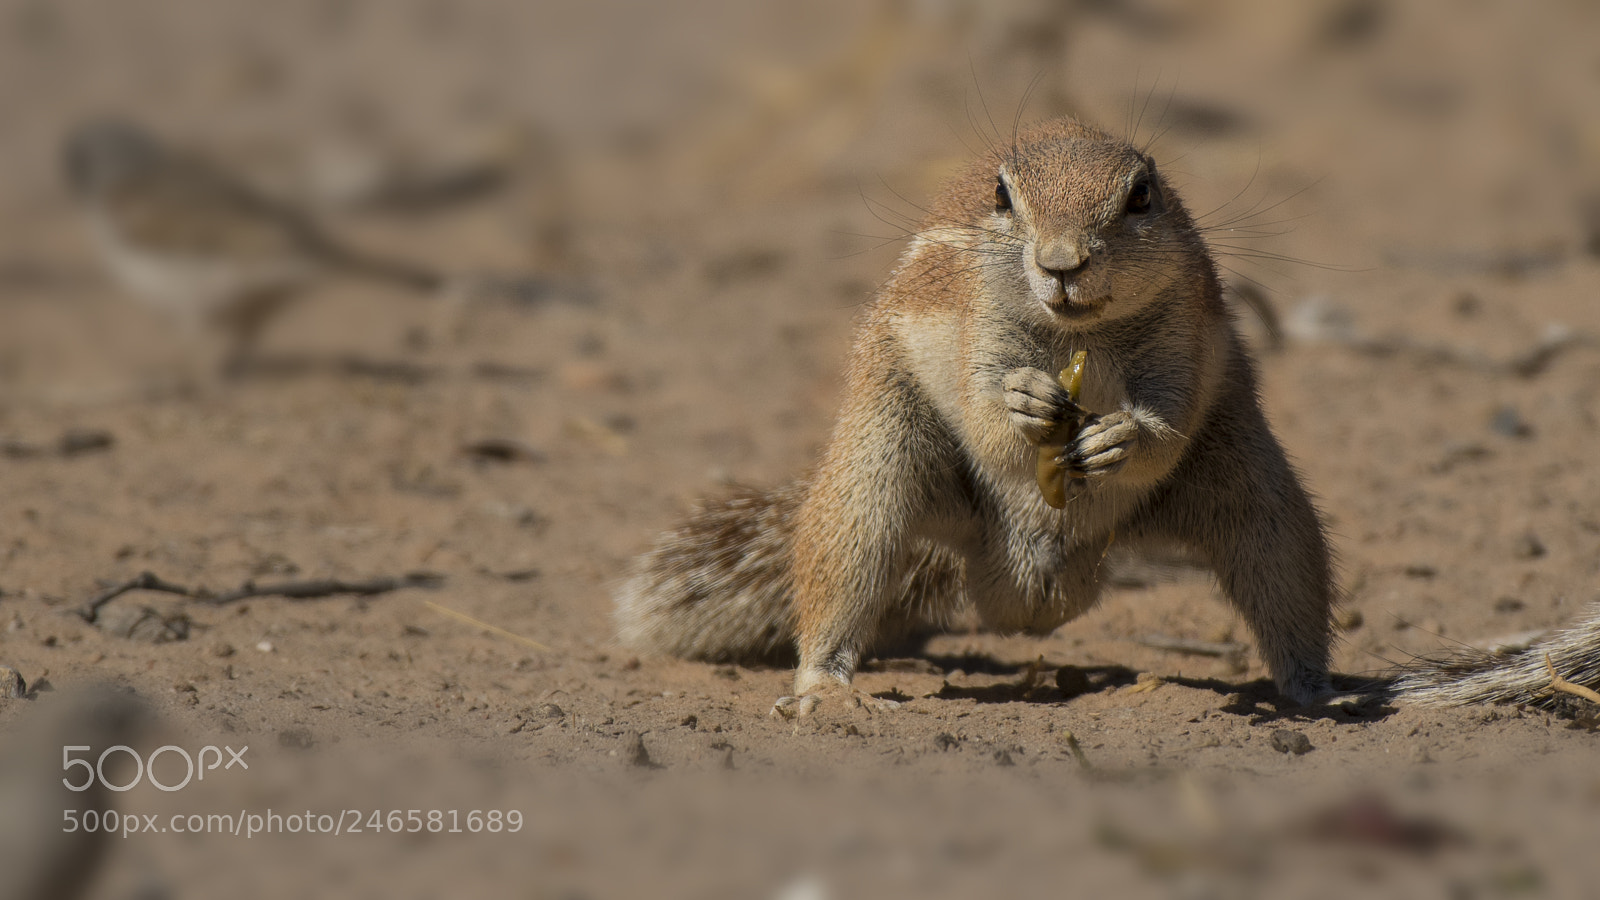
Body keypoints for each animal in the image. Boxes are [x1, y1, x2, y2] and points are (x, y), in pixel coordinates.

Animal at [616, 116, 1600, 716]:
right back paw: (824, 685)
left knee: (1280, 566)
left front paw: (1127, 434)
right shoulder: (973, 322)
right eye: (1003, 197)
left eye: (1140, 196)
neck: (1074, 336)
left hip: (1252, 490)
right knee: (846, 562)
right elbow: (984, 397)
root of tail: (1026, 584)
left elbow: (1168, 408)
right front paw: (1021, 405)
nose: (1059, 263)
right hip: (878, 472)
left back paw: (1315, 692)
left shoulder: (1188, 339)